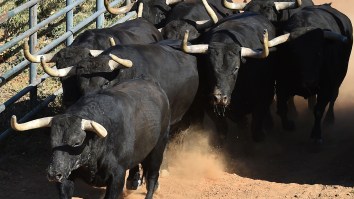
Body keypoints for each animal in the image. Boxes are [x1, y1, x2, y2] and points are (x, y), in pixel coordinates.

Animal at [12, 77, 170, 199]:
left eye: (76, 142)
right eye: (52, 141)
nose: (53, 174)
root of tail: (154, 85)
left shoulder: (117, 177)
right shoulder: (66, 176)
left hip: (158, 148)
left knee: (152, 178)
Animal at [274, 3, 352, 141]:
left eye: (319, 53)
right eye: (294, 53)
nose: (310, 82)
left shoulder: (327, 87)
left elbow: (319, 110)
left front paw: (316, 135)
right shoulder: (281, 84)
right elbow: (282, 107)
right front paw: (288, 125)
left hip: (340, 75)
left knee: (333, 97)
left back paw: (329, 120)